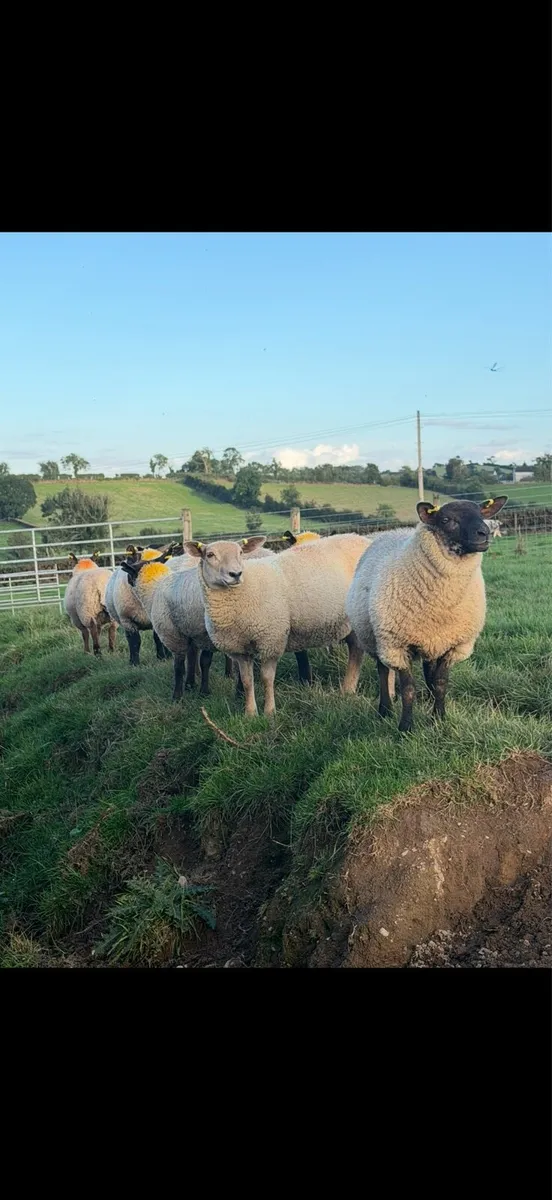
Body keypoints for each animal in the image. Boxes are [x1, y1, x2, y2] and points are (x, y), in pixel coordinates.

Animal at [121, 538, 314, 701]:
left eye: (130, 575)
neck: (155, 586)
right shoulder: (194, 632)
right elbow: (197, 659)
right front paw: (193, 685)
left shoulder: (177, 634)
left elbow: (182, 665)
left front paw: (181, 694)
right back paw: (304, 680)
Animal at [185, 532, 372, 717]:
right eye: (210, 555)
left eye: (240, 552)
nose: (236, 574)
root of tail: (362, 538)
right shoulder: (240, 649)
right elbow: (247, 680)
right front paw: (250, 714)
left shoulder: (271, 640)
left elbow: (267, 678)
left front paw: (269, 712)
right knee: (356, 650)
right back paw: (348, 689)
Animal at [345, 496, 508, 733]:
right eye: (447, 520)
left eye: (481, 513)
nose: (484, 533)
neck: (444, 602)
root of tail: (393, 530)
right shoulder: (398, 645)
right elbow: (408, 689)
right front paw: (405, 727)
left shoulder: (453, 645)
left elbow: (440, 683)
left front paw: (438, 718)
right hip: (376, 639)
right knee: (383, 671)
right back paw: (385, 710)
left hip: (431, 641)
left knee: (428, 672)